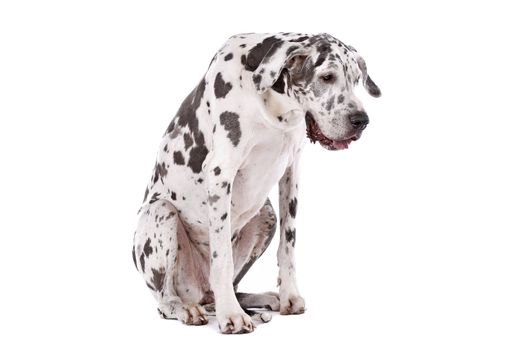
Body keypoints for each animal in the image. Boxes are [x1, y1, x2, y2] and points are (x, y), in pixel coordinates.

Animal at [130, 32, 376, 334]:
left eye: (356, 78)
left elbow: (288, 244)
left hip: (265, 213)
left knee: (229, 289)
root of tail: (199, 294)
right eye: (327, 77)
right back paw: (188, 308)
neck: (274, 107)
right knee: (166, 299)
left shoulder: (291, 170)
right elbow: (221, 258)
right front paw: (231, 315)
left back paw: (262, 299)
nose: (361, 120)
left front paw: (288, 295)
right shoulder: (221, 171)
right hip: (161, 212)